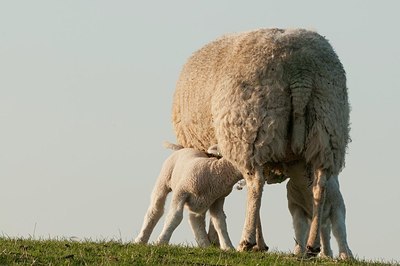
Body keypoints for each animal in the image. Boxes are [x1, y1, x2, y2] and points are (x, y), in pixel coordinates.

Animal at [172, 27, 350, 256]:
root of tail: (300, 71)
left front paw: (246, 242)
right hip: (327, 129)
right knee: (319, 187)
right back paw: (312, 245)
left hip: (250, 130)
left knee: (255, 184)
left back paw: (245, 241)